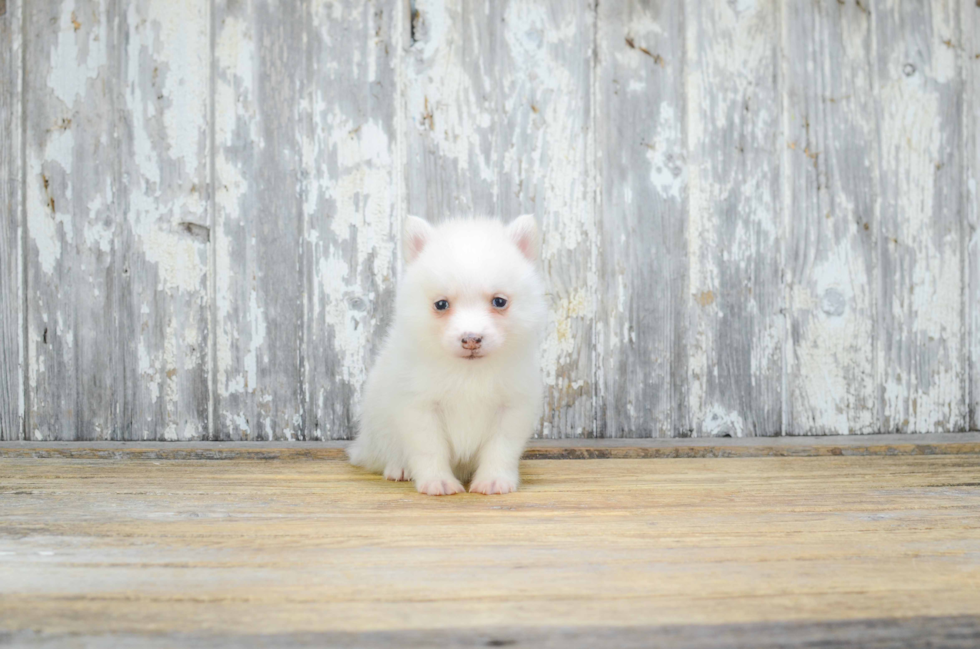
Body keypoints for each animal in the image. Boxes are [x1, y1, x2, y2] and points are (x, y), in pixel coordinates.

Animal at [350, 215, 552, 494]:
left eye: (499, 301)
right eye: (441, 304)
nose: (471, 339)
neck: (469, 372)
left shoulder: (512, 407)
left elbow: (501, 449)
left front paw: (494, 480)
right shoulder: (420, 407)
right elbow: (430, 449)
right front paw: (438, 481)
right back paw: (398, 468)